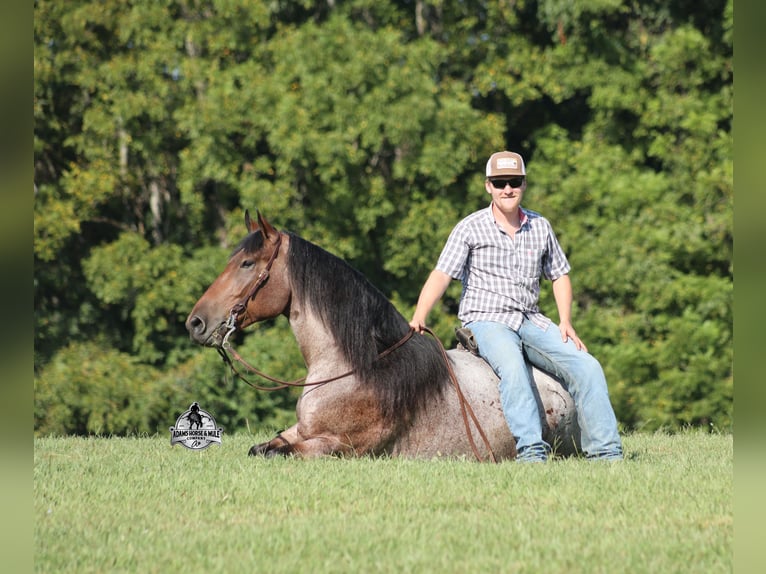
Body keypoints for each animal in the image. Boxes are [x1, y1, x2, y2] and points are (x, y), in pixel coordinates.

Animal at [185, 210, 581, 461]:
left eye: (247, 263)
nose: (195, 323)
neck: (360, 369)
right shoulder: (300, 430)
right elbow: (262, 447)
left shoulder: (338, 448)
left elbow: (276, 453)